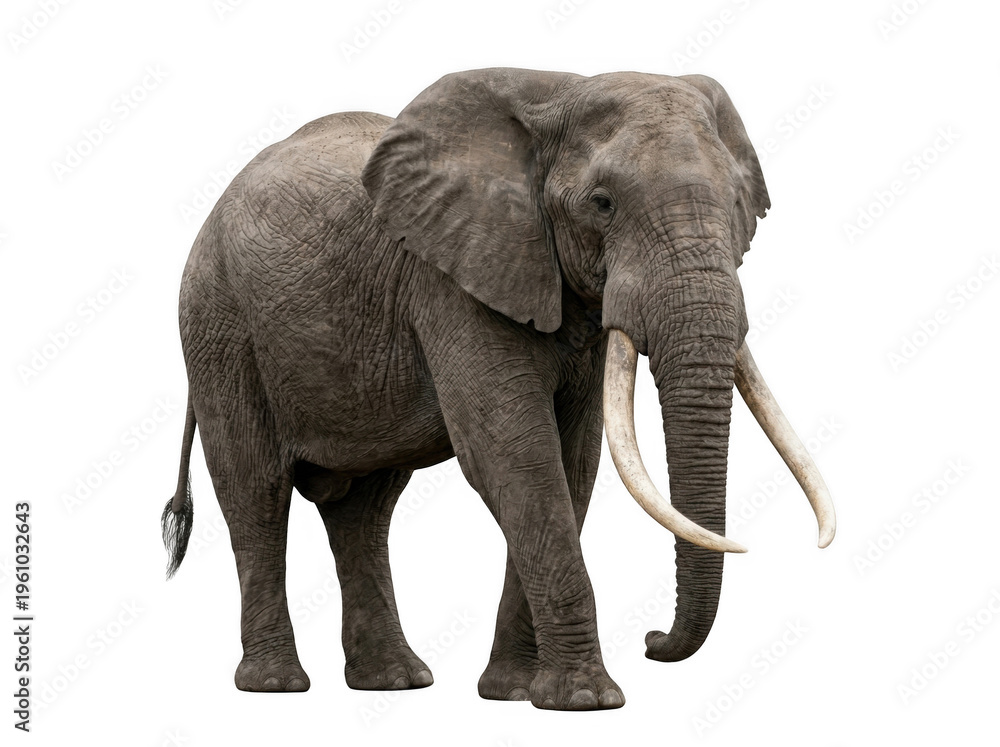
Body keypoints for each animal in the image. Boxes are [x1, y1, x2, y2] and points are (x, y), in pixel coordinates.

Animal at [161, 67, 835, 711]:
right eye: (602, 203)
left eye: (739, 205)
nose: (652, 641)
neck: (560, 93)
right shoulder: (452, 280)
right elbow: (516, 456)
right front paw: (586, 701)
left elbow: (572, 463)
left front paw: (514, 693)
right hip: (219, 323)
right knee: (256, 492)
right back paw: (276, 685)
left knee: (365, 510)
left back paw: (394, 682)